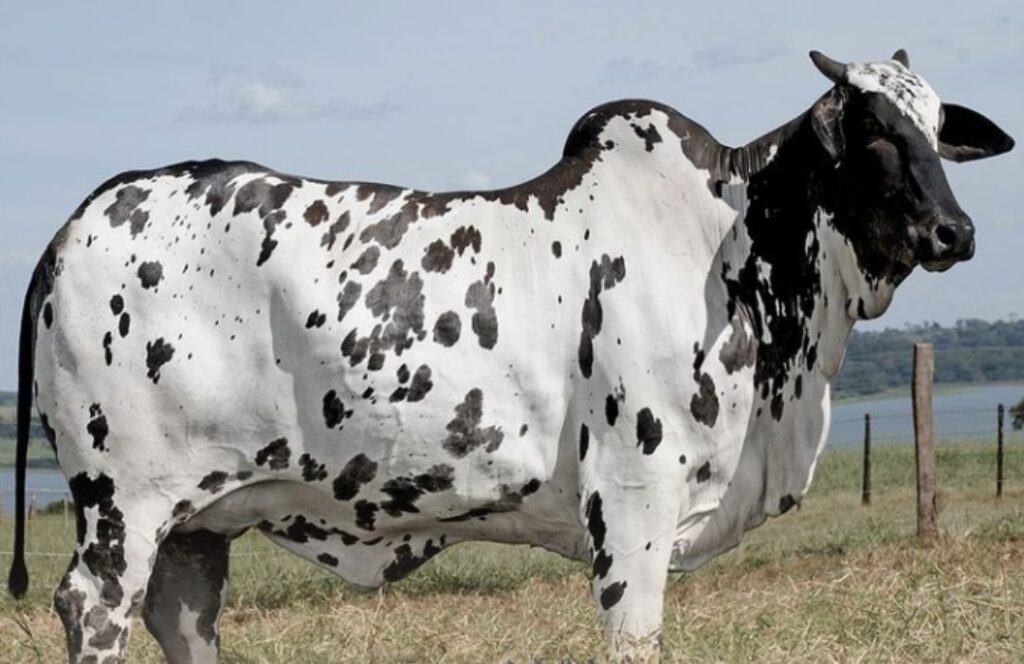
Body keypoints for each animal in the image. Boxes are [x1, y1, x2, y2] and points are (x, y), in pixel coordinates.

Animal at [6, 49, 1013, 663]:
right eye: (872, 129)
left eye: (937, 129)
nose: (954, 230)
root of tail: (80, 218)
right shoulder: (634, 509)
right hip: (123, 509)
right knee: (94, 608)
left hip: (197, 525)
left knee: (180, 617)